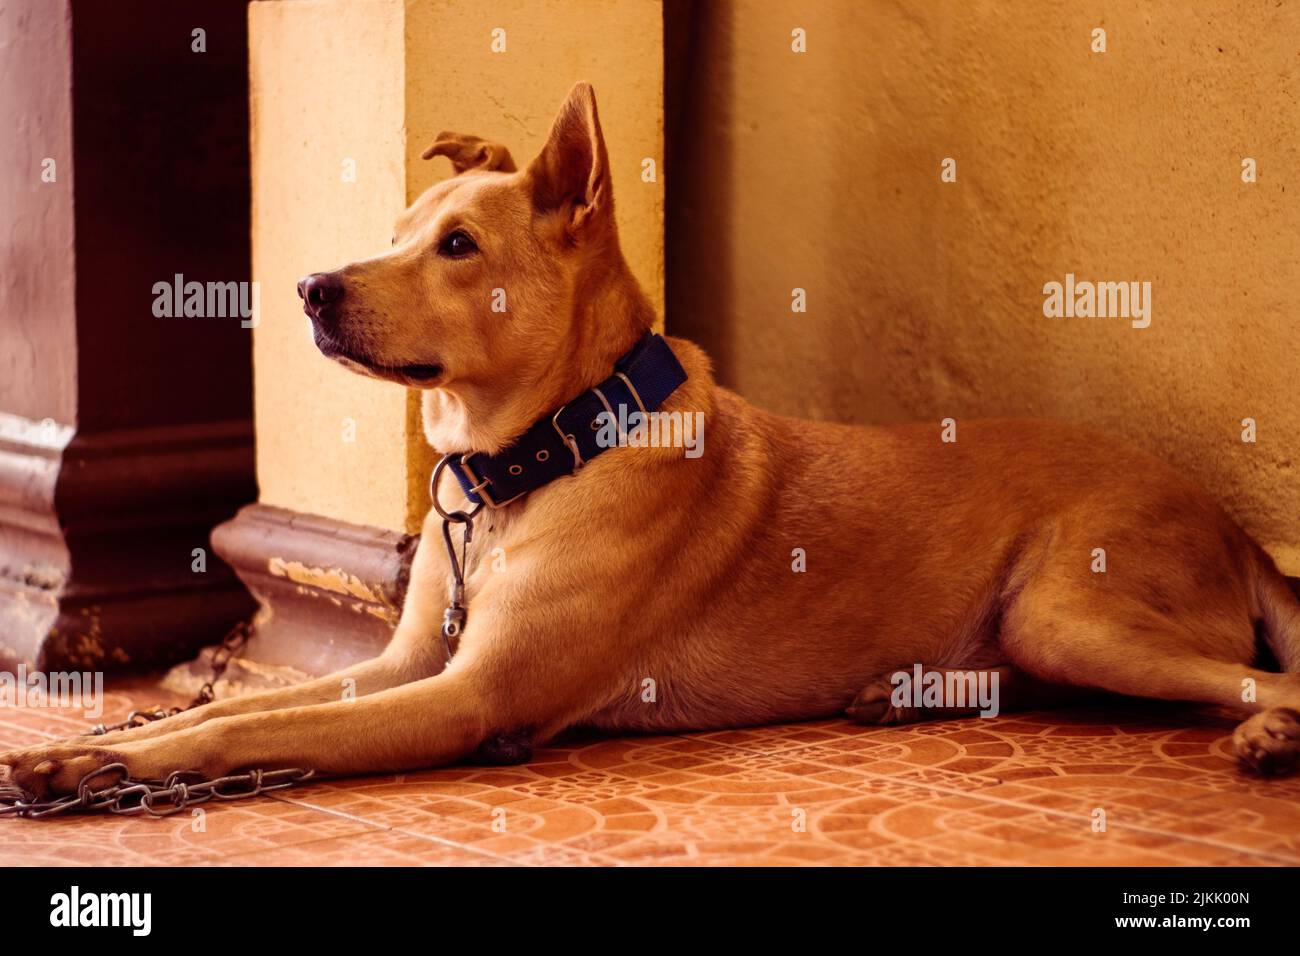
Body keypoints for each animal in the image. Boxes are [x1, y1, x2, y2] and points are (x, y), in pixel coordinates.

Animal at [2, 83, 1300, 801]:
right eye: (398, 229)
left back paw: (1270, 730)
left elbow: (255, 730)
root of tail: (1236, 527)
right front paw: (101, 747)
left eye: (458, 246)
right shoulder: (405, 661)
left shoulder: (466, 696)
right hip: (1044, 626)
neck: (531, 466)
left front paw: (116, 767)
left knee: (1256, 674)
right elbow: (224, 713)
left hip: (1071, 606)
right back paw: (909, 687)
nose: (312, 288)